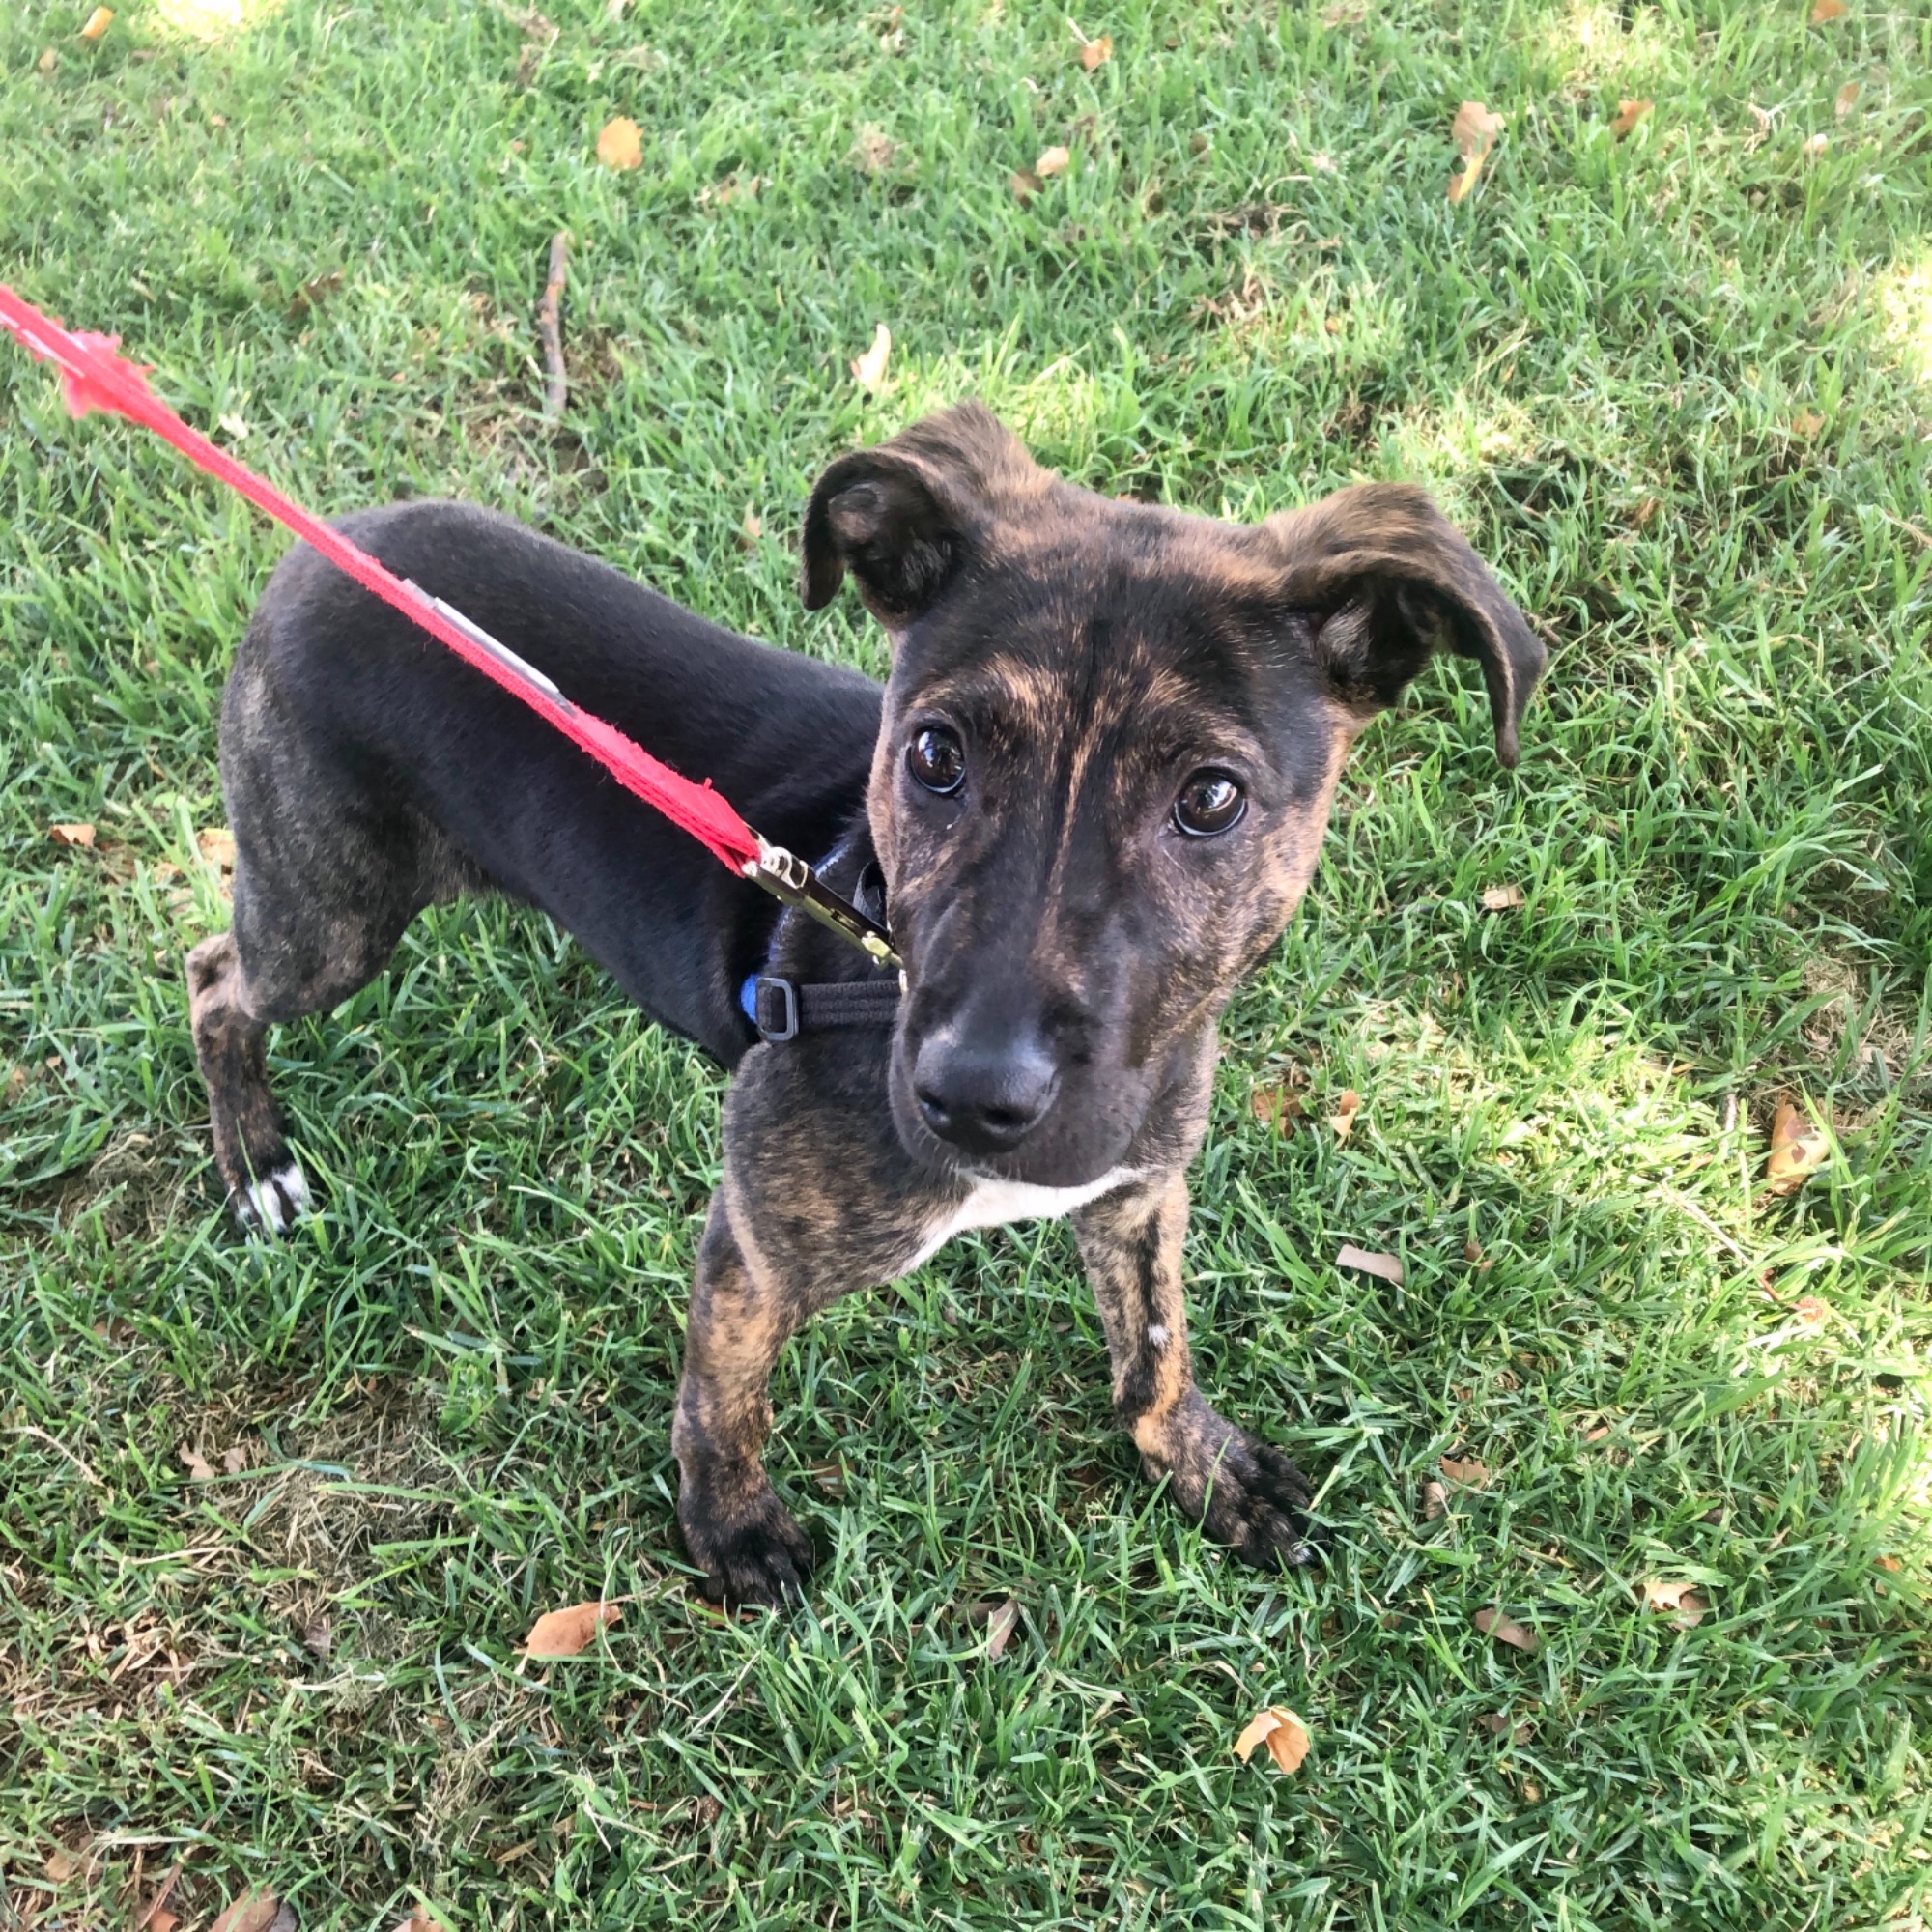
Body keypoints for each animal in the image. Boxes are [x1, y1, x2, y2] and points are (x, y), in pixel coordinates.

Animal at [186, 403, 1544, 1607]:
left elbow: (1153, 1343)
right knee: (212, 979)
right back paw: (258, 1164)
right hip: (331, 918)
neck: (872, 939)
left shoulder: (1139, 1187)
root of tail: (318, 546)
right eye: (933, 753)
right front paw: (732, 1530)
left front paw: (1200, 1465)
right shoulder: (751, 1247)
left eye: (1209, 797)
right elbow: (720, 1400)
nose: (972, 1097)